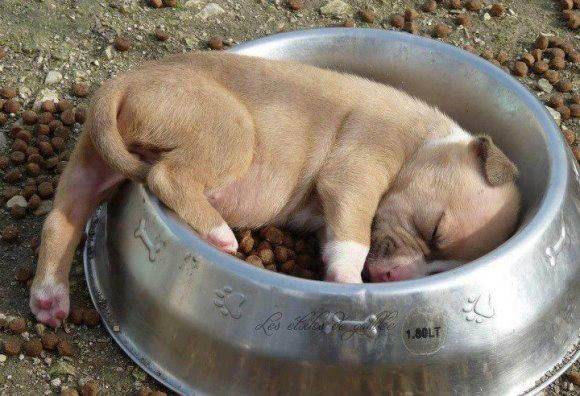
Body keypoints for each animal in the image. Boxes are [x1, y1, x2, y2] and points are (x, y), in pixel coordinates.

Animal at [29, 51, 520, 326]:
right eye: (434, 231)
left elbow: (337, 237)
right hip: (232, 131)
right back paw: (218, 234)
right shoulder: (355, 174)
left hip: (90, 168)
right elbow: (354, 238)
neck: (424, 143)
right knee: (167, 177)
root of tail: (122, 82)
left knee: (60, 221)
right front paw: (347, 283)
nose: (387, 281)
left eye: (442, 270)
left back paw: (49, 298)